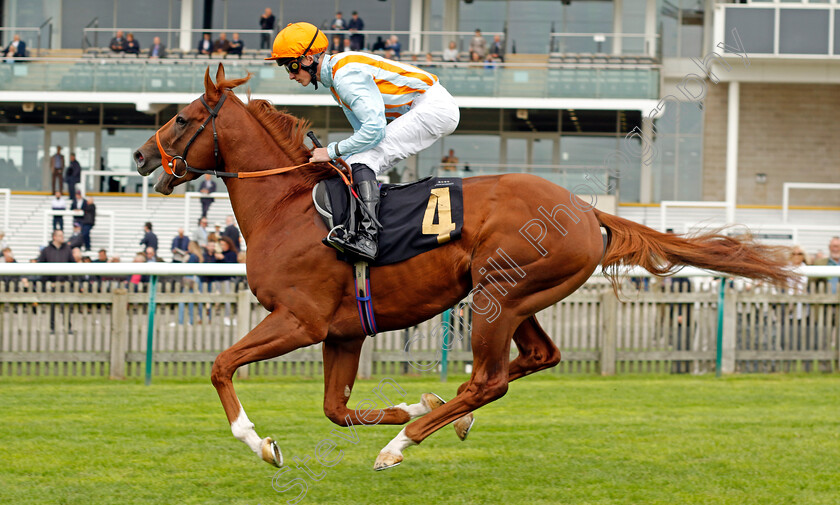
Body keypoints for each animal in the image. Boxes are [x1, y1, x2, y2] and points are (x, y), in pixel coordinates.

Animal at [135, 65, 792, 470]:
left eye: (185, 117)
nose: (141, 157)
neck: (288, 207)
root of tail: (585, 209)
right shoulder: (343, 332)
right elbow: (336, 410)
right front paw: (414, 405)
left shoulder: (301, 320)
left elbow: (222, 365)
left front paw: (261, 444)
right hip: (516, 296)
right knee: (537, 357)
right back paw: (442, 416)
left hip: (498, 294)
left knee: (490, 379)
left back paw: (401, 445)